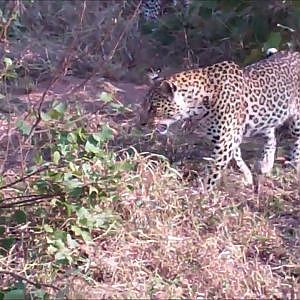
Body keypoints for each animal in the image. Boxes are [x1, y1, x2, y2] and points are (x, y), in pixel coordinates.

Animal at [139, 50, 300, 192]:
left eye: (153, 108)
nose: (142, 124)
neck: (199, 103)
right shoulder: (227, 138)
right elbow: (237, 156)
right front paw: (248, 176)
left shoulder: (225, 141)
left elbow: (213, 171)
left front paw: (200, 194)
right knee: (271, 137)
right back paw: (266, 164)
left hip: (296, 123)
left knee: (296, 141)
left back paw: (294, 166)